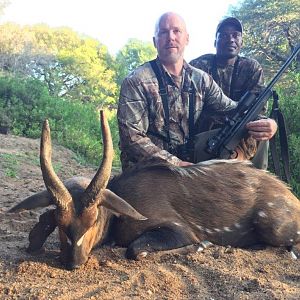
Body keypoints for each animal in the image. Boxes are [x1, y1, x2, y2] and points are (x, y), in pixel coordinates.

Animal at [9, 110, 300, 270]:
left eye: (93, 221)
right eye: (61, 224)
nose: (73, 263)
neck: (118, 215)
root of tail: (288, 193)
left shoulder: (178, 229)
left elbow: (136, 249)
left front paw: (202, 246)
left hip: (274, 227)